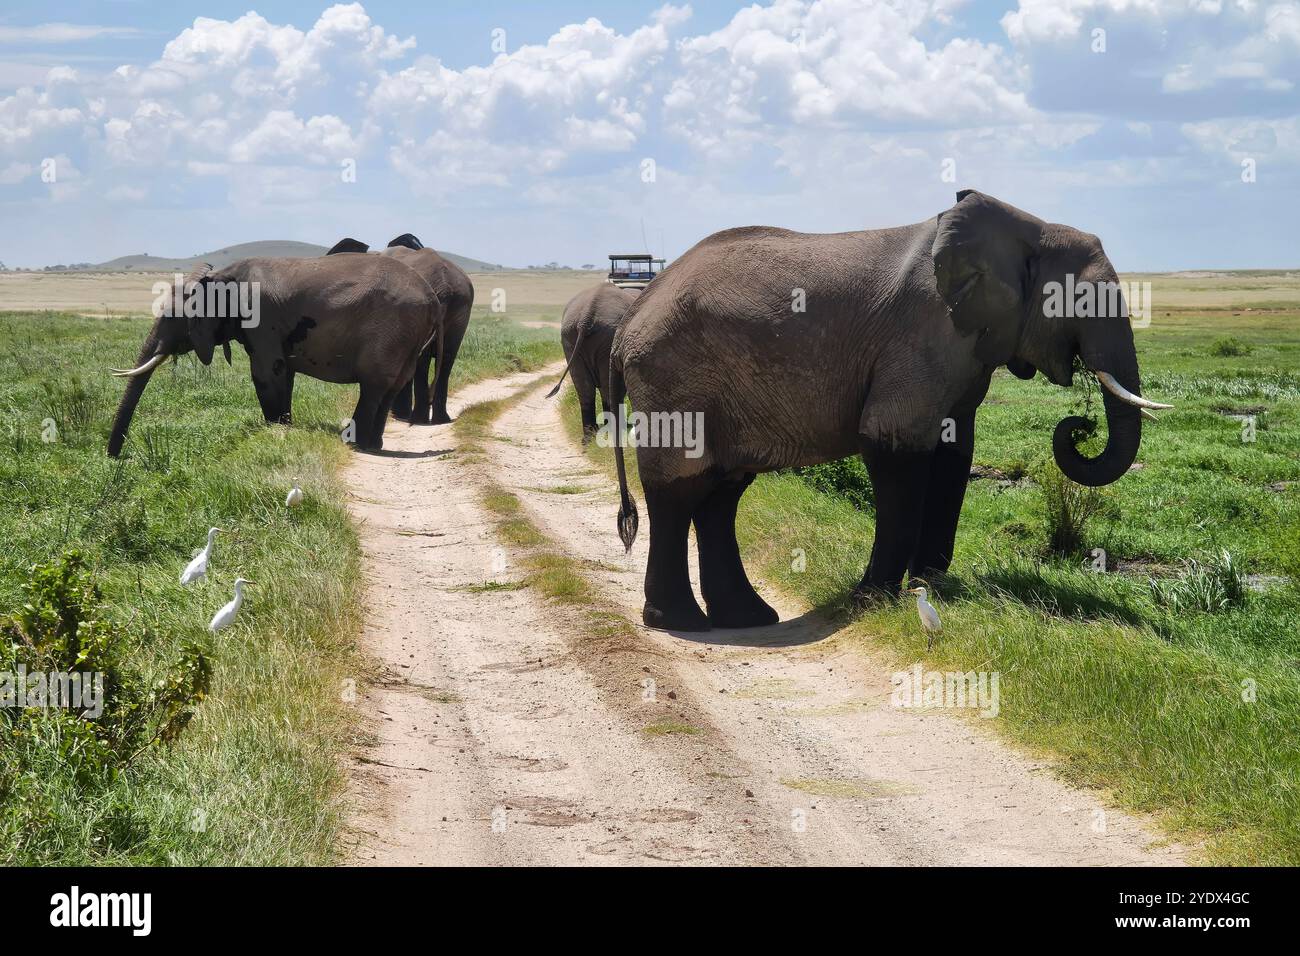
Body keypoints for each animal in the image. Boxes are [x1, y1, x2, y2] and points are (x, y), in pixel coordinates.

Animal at [106, 253, 442, 456]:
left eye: (171, 317)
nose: (115, 457)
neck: (221, 278)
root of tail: (432, 298)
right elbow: (284, 373)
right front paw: (284, 426)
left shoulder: (260, 318)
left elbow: (266, 373)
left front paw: (274, 430)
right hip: (406, 338)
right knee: (391, 387)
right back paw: (373, 445)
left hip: (391, 329)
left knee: (373, 387)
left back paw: (355, 444)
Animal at [326, 234, 474, 424]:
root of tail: (445, 286)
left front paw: (398, 414)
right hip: (462, 308)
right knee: (447, 358)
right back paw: (440, 420)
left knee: (422, 360)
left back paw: (418, 419)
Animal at [546, 282, 640, 438]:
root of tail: (586, 317)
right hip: (607, 337)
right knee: (607, 387)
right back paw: (613, 430)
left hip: (570, 337)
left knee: (585, 388)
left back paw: (590, 436)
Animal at [607, 190, 1173, 632]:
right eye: (1082, 301)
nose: (1079, 426)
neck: (1026, 228)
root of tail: (629, 321)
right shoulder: (921, 337)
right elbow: (893, 444)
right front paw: (874, 599)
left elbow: (953, 454)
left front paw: (932, 584)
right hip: (674, 379)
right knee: (679, 491)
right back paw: (680, 621)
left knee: (722, 494)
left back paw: (747, 617)